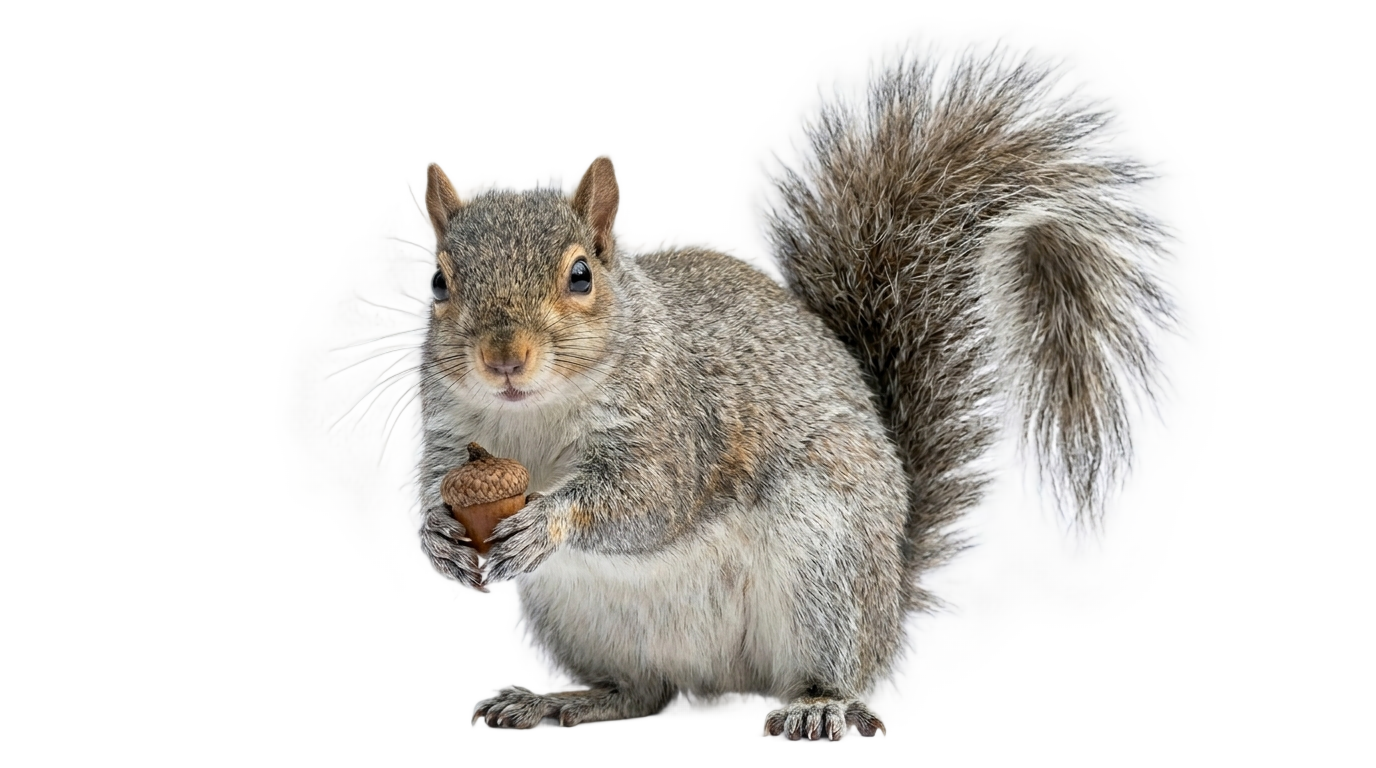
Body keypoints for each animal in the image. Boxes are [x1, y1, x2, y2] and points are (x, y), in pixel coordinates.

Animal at [410, 46, 1178, 740]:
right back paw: (564, 699)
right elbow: (435, 488)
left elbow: (648, 501)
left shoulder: (675, 421)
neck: (533, 416)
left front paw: (546, 519)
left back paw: (818, 706)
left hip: (825, 570)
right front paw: (438, 538)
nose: (504, 358)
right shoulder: (450, 433)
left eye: (580, 276)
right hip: (586, 621)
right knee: (645, 693)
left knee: (824, 673)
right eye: (439, 281)